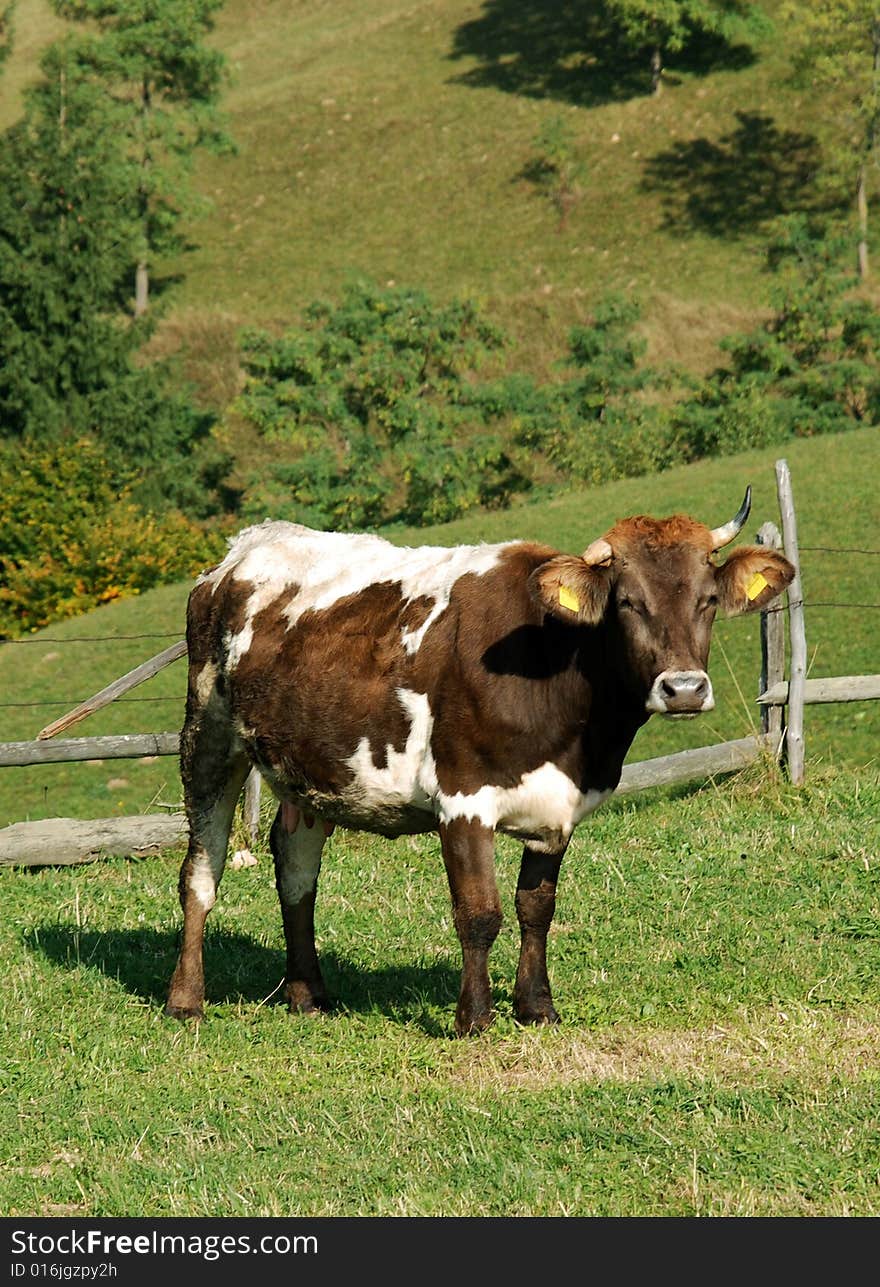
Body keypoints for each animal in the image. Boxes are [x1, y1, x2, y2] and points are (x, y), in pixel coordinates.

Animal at [167, 489, 797, 1034]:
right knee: (202, 868)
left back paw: (308, 995)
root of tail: (248, 546)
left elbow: (535, 908)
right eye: (627, 602)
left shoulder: (558, 807)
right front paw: (474, 1017)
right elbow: (478, 913)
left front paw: (536, 1008)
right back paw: (186, 1000)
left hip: (314, 768)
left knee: (297, 866)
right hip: (208, 736)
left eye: (707, 600)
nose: (684, 689)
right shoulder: (463, 798)